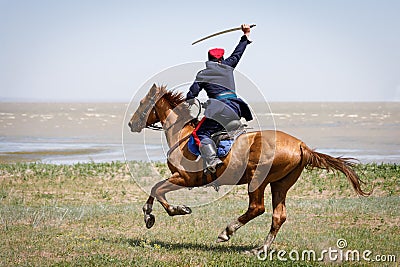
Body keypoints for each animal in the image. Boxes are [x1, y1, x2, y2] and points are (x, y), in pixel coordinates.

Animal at [128, 84, 372, 255]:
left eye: (142, 103)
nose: (131, 124)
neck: (183, 133)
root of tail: (301, 145)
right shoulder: (179, 177)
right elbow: (154, 189)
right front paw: (149, 215)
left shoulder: (185, 178)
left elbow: (157, 189)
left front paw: (176, 210)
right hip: (280, 184)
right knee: (278, 216)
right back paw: (260, 249)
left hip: (258, 179)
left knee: (257, 208)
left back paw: (227, 232)